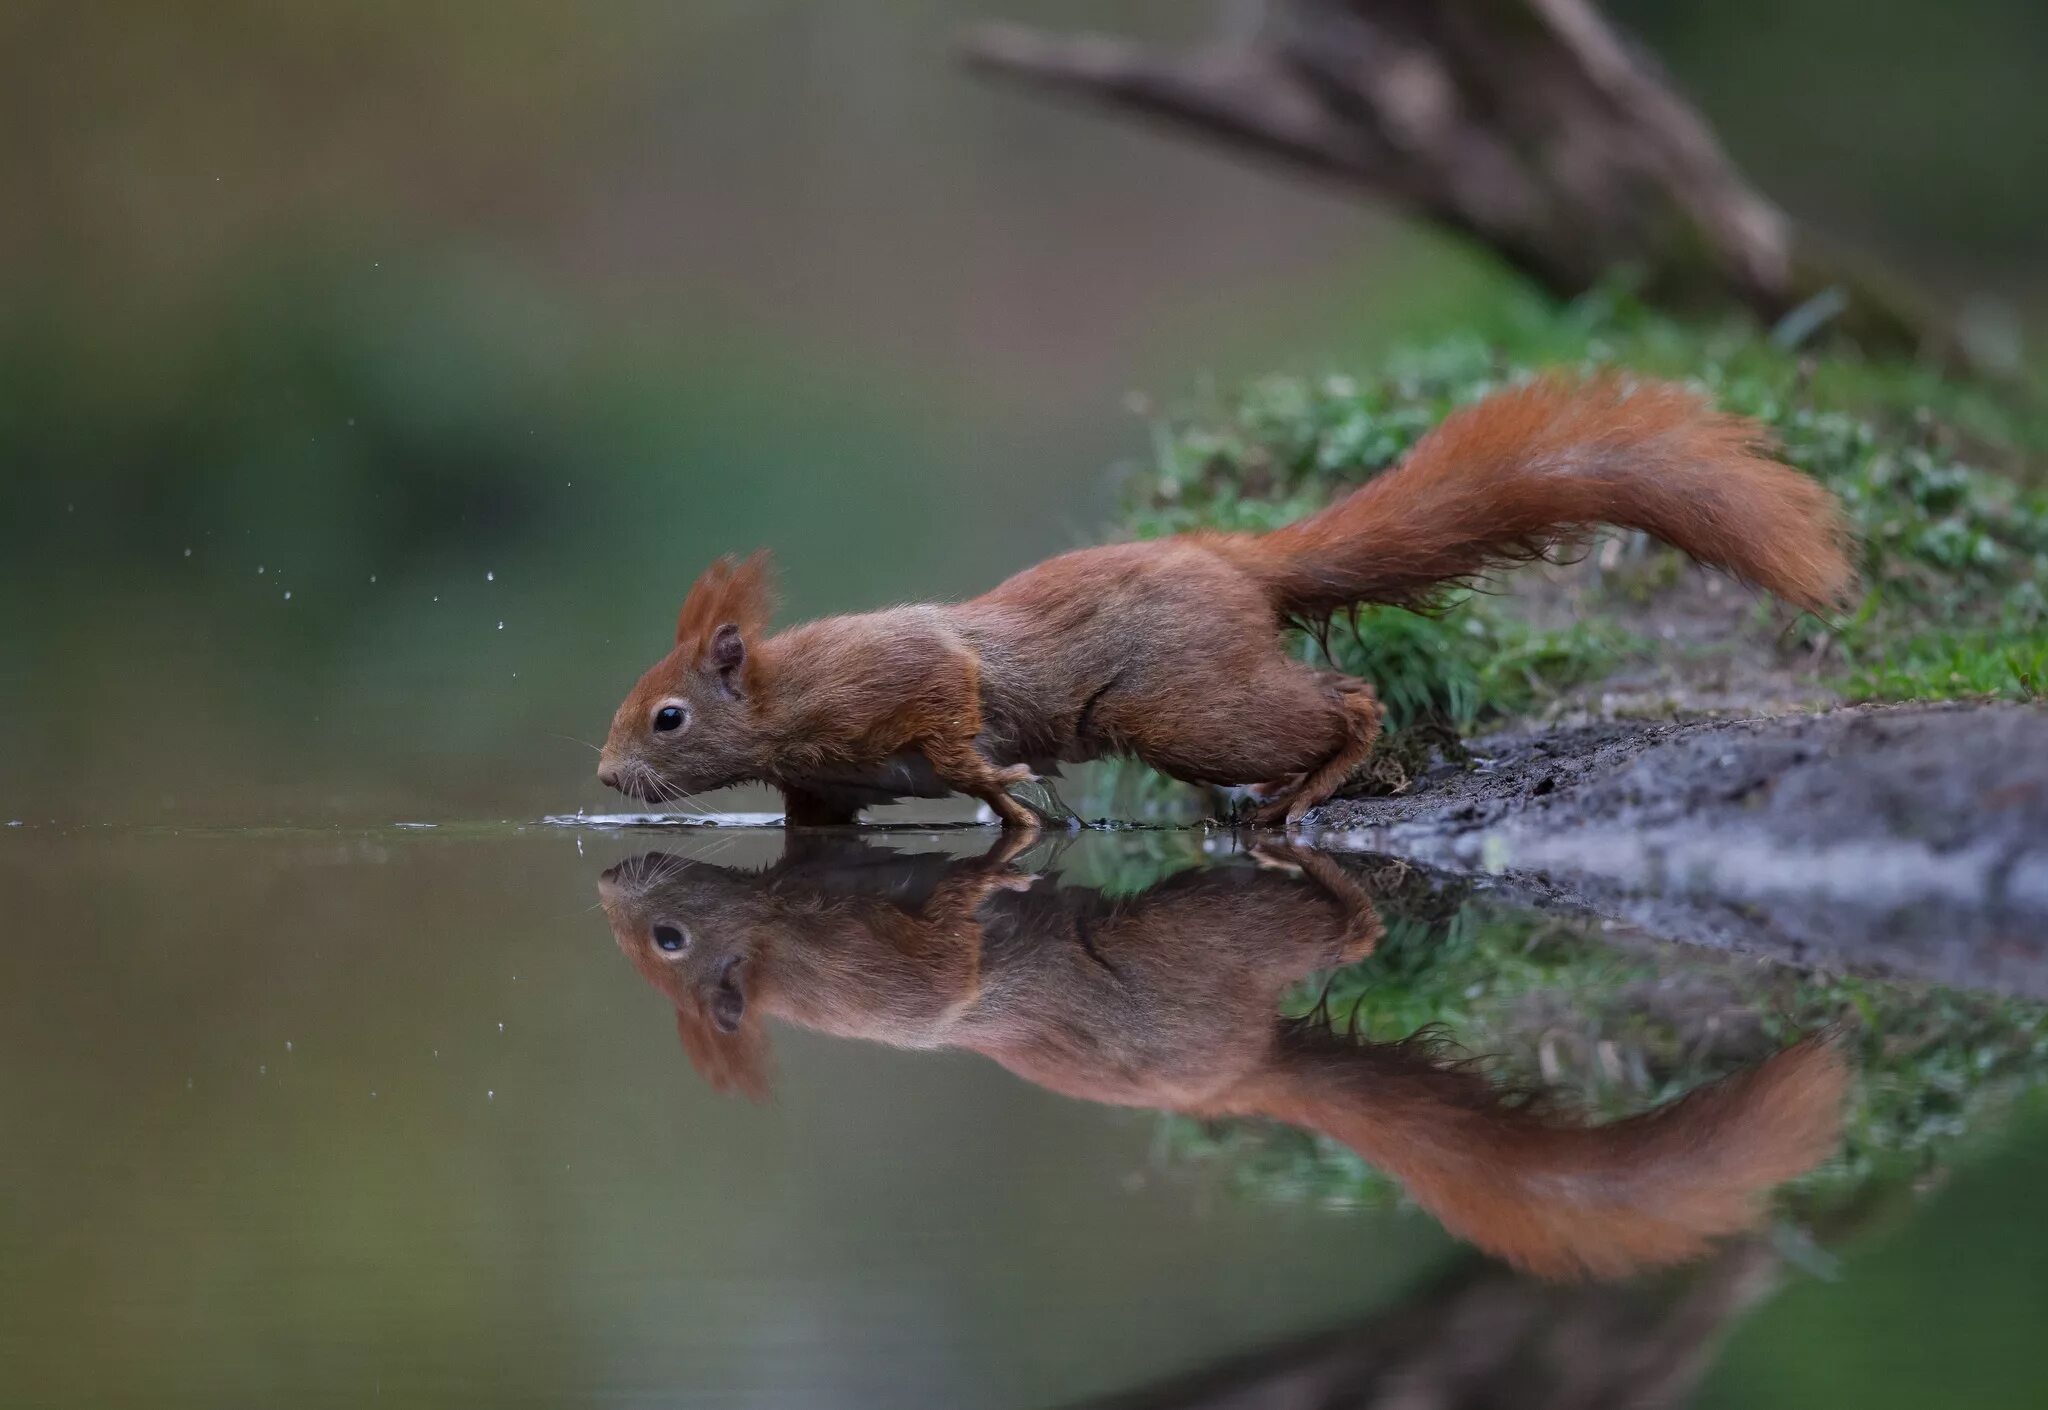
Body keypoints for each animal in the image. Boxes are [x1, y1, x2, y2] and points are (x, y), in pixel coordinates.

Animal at [598, 375, 1859, 827]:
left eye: (668, 716)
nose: (606, 779)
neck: (785, 698)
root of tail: (1234, 562)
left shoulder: (899, 679)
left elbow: (953, 719)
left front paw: (1005, 793)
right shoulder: (824, 783)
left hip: (1182, 707)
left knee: (1345, 701)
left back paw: (1313, 787)